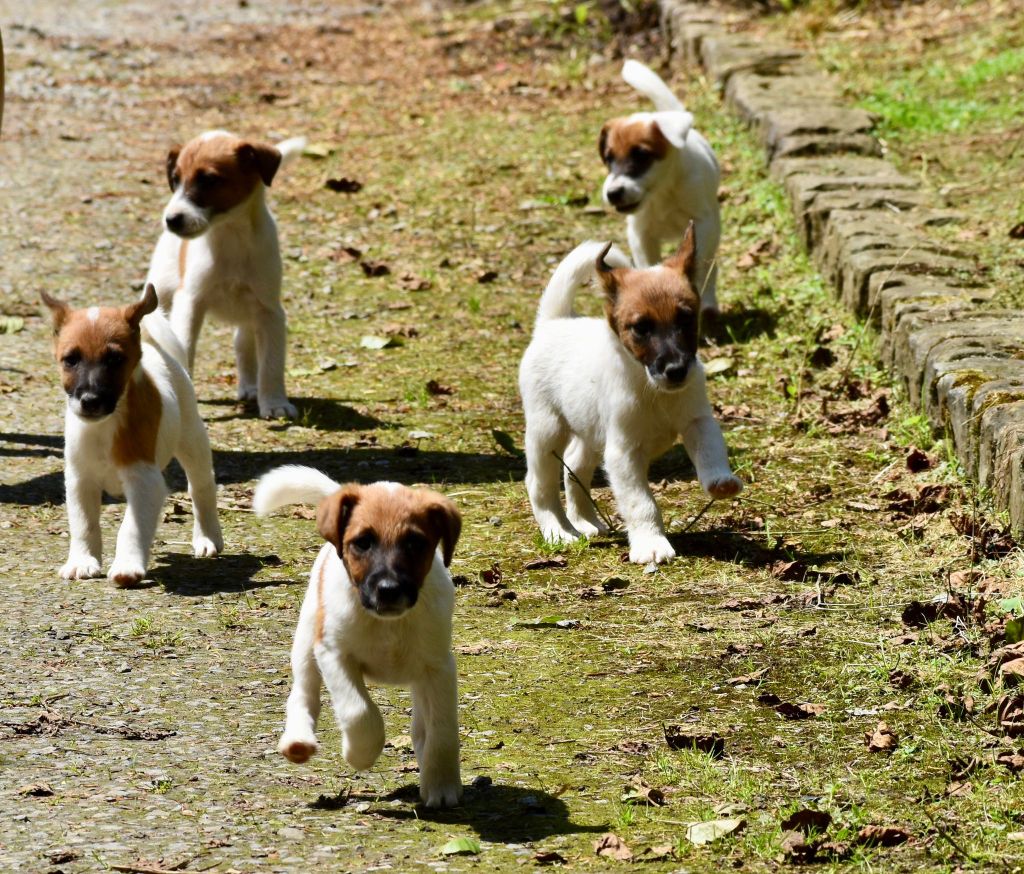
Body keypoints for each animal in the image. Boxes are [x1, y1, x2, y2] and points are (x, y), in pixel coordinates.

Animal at [42, 286, 224, 589]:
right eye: (71, 360)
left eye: (114, 359)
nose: (90, 401)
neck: (105, 427)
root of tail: (153, 348)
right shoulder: (80, 479)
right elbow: (83, 523)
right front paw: (82, 561)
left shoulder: (144, 481)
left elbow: (131, 527)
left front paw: (127, 566)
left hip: (192, 440)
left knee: (201, 488)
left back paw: (208, 538)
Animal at [144, 128, 305, 419]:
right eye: (175, 180)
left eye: (209, 180)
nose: (171, 219)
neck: (230, 235)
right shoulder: (191, 303)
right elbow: (185, 346)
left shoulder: (270, 312)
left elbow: (272, 364)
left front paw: (274, 402)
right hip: (159, 291)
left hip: (249, 318)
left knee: (244, 346)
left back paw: (250, 387)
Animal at [256, 468, 464, 810]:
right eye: (363, 543)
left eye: (415, 543)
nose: (389, 590)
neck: (387, 624)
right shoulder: (333, 653)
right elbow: (359, 712)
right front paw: (359, 754)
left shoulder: (439, 668)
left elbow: (443, 732)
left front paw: (443, 785)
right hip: (307, 641)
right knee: (303, 694)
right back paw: (298, 740)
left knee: (422, 726)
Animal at [520, 224, 745, 569]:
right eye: (641, 328)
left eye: (686, 319)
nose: (677, 370)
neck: (652, 389)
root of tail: (553, 322)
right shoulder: (623, 452)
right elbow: (641, 502)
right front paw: (651, 544)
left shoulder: (697, 421)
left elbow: (710, 452)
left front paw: (720, 481)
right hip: (547, 430)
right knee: (539, 484)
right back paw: (558, 531)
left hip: (590, 433)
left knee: (574, 466)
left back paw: (585, 521)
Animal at [598, 62, 724, 321]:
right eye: (609, 158)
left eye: (642, 155)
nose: (613, 193)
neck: (663, 192)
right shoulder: (640, 234)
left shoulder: (705, 223)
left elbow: (699, 266)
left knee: (711, 268)